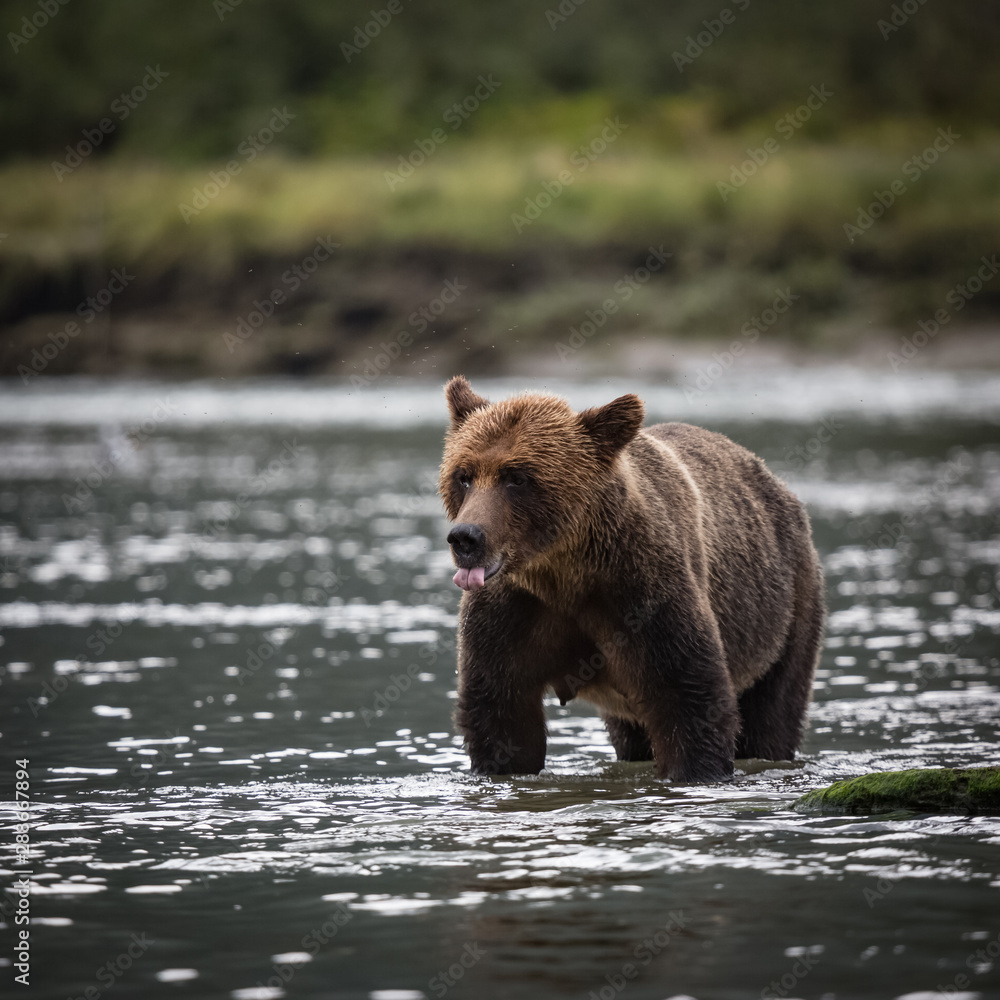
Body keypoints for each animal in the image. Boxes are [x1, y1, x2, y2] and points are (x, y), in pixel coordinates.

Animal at [438, 375, 825, 783]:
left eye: (517, 477)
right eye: (463, 476)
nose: (466, 537)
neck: (563, 571)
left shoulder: (642, 593)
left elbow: (688, 697)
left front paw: (696, 770)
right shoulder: (513, 612)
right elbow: (501, 714)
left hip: (786, 606)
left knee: (773, 711)